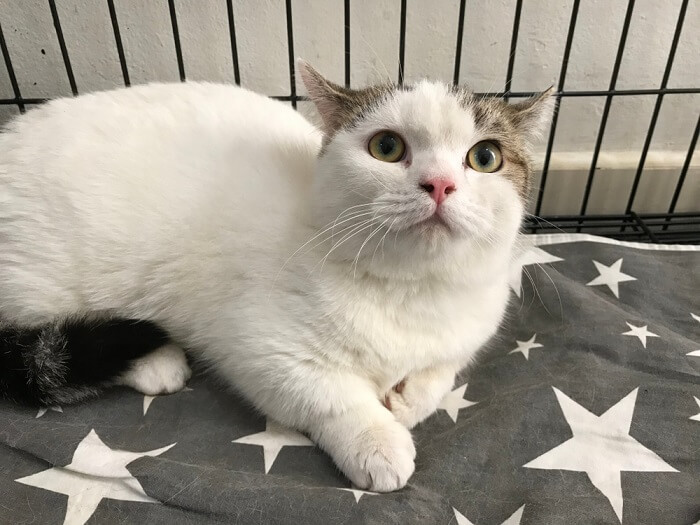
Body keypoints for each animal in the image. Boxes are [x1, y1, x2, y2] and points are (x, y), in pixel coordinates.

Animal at [0, 61, 552, 492]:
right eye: (387, 147)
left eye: (485, 157)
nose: (439, 184)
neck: (410, 291)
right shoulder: (259, 348)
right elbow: (331, 395)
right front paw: (379, 442)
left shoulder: (473, 324)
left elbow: (443, 372)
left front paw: (409, 399)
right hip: (50, 276)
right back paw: (158, 362)